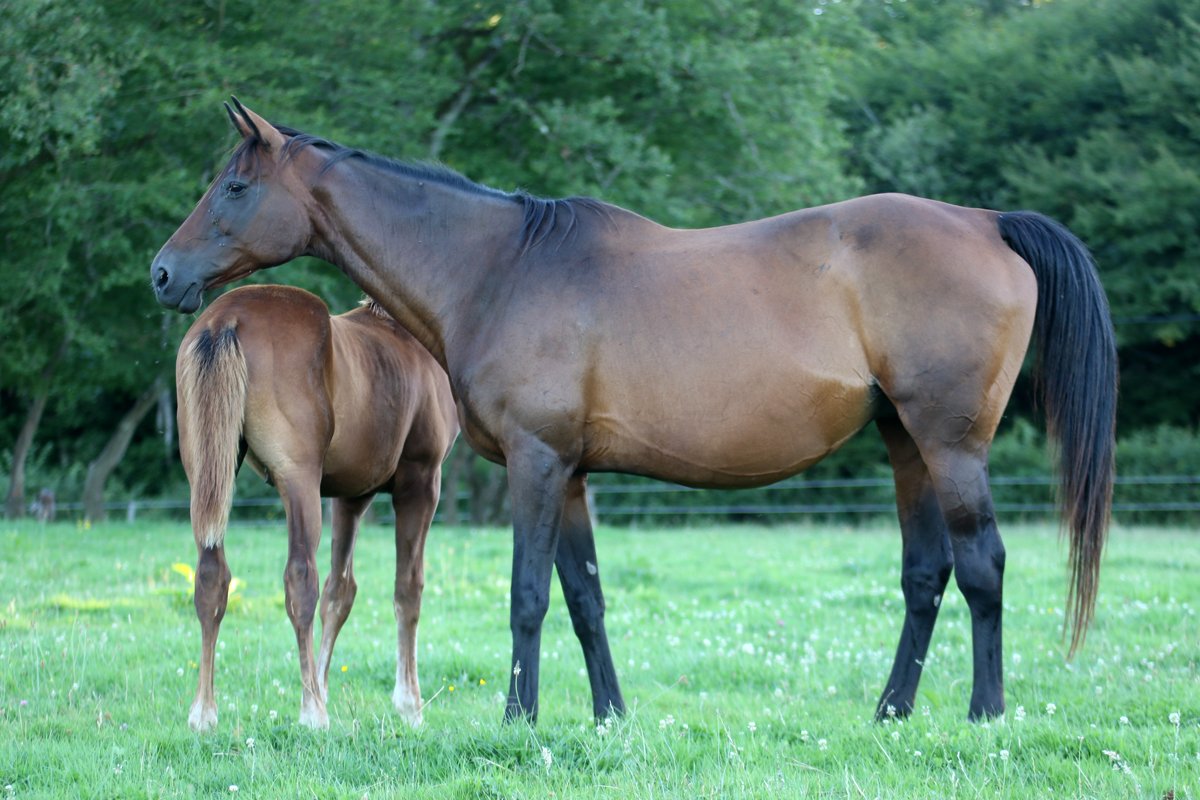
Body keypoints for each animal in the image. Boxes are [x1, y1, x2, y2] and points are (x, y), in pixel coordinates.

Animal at [175, 283, 458, 731]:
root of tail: (224, 320)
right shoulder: (421, 482)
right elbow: (407, 589)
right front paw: (410, 705)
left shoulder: (352, 494)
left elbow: (339, 593)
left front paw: (324, 687)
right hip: (299, 481)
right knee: (299, 578)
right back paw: (311, 712)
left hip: (208, 478)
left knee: (211, 577)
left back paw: (204, 712)